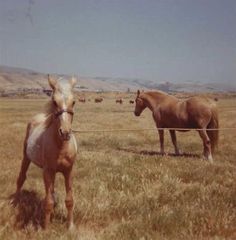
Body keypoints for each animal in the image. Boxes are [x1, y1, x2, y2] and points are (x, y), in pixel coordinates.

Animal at [15, 75, 78, 229]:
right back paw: (15, 202)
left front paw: (70, 226)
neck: (61, 146)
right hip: (26, 158)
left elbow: (69, 200)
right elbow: (48, 201)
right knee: (21, 178)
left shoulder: (69, 171)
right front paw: (46, 228)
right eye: (54, 101)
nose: (65, 132)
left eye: (74, 101)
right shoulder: (47, 171)